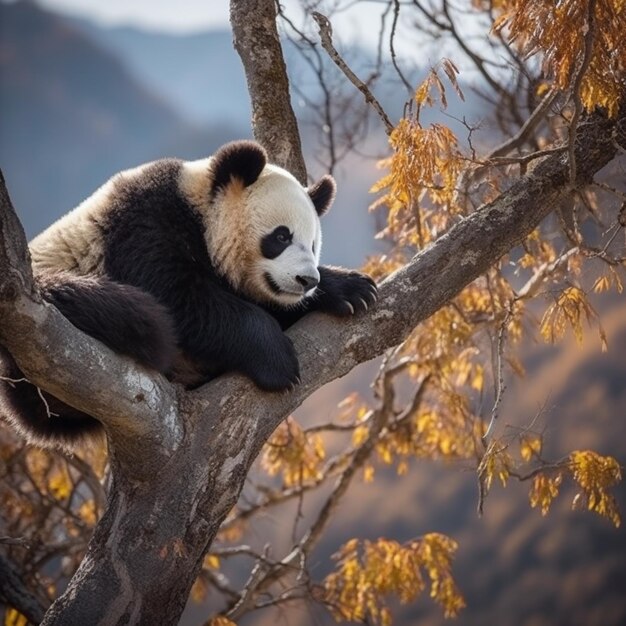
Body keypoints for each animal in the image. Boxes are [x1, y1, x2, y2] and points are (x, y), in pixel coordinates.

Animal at [0, 139, 376, 446]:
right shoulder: (145, 225)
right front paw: (276, 359)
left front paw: (352, 289)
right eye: (281, 236)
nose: (306, 280)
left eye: (312, 245)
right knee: (116, 311)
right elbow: (180, 301)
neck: (199, 209)